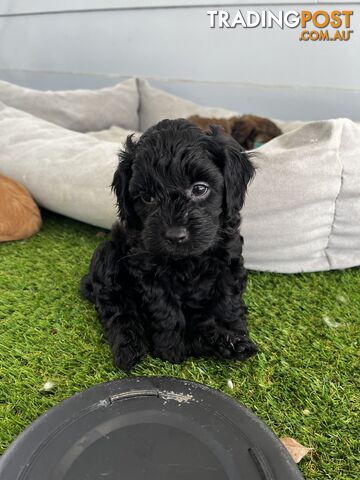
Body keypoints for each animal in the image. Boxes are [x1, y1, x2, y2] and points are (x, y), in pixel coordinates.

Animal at [80, 117, 258, 372]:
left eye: (200, 188)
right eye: (147, 197)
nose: (175, 235)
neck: (188, 260)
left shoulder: (229, 260)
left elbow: (227, 301)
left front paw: (233, 336)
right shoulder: (147, 270)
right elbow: (165, 310)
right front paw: (171, 349)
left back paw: (217, 341)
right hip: (107, 256)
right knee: (117, 309)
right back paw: (129, 348)